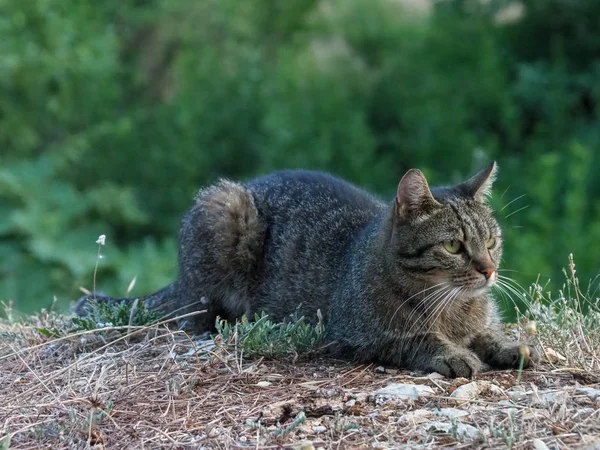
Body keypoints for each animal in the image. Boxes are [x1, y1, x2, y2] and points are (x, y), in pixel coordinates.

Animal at [75, 163, 540, 378]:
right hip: (222, 206)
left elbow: (489, 334)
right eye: (453, 246)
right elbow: (417, 338)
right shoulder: (356, 336)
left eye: (491, 241)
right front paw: (452, 353)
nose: (489, 270)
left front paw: (510, 346)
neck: (451, 307)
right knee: (195, 313)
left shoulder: (479, 320)